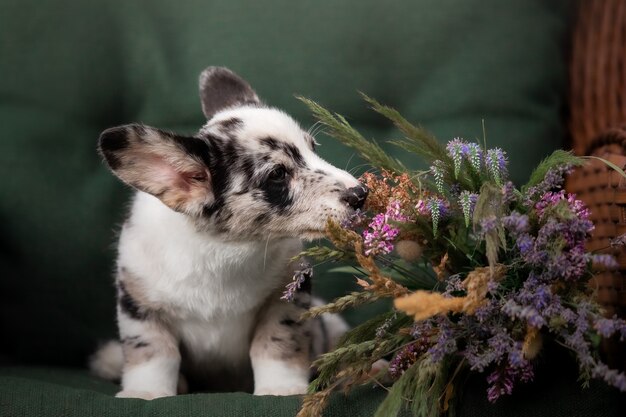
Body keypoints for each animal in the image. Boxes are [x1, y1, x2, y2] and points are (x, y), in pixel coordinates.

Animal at [90, 66, 368, 398]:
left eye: (313, 148)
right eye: (277, 174)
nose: (361, 194)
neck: (225, 248)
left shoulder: (285, 299)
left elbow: (276, 345)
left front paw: (281, 388)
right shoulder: (139, 305)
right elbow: (154, 355)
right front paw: (146, 393)